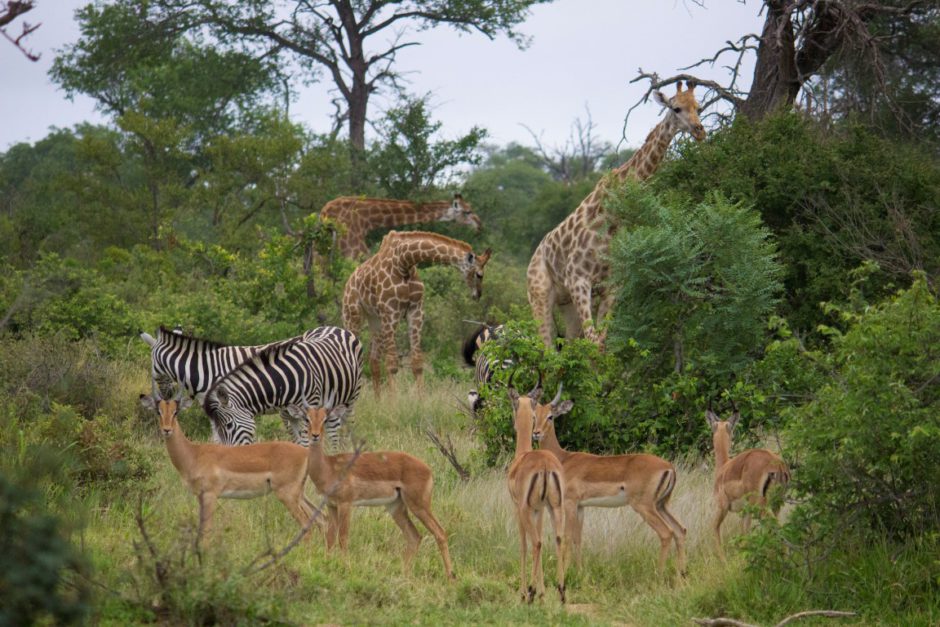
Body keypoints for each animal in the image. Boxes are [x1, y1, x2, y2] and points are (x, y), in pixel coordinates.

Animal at [203, 326, 364, 448]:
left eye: (229, 425)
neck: (285, 381)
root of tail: (335, 327)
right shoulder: (287, 414)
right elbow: (299, 442)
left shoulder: (309, 411)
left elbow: (307, 442)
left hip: (350, 399)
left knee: (343, 430)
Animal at [344, 231, 492, 394]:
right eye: (479, 274)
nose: (478, 295)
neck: (404, 261)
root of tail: (348, 282)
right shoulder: (390, 312)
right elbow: (392, 364)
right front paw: (393, 400)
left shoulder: (416, 311)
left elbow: (417, 362)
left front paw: (421, 397)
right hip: (352, 315)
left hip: (375, 320)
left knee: (374, 360)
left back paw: (378, 399)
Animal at [524, 81, 700, 348]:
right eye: (676, 108)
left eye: (698, 107)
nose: (700, 131)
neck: (612, 217)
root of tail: (532, 259)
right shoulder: (578, 280)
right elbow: (594, 342)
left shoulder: (612, 286)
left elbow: (602, 342)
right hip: (539, 294)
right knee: (547, 348)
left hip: (566, 304)